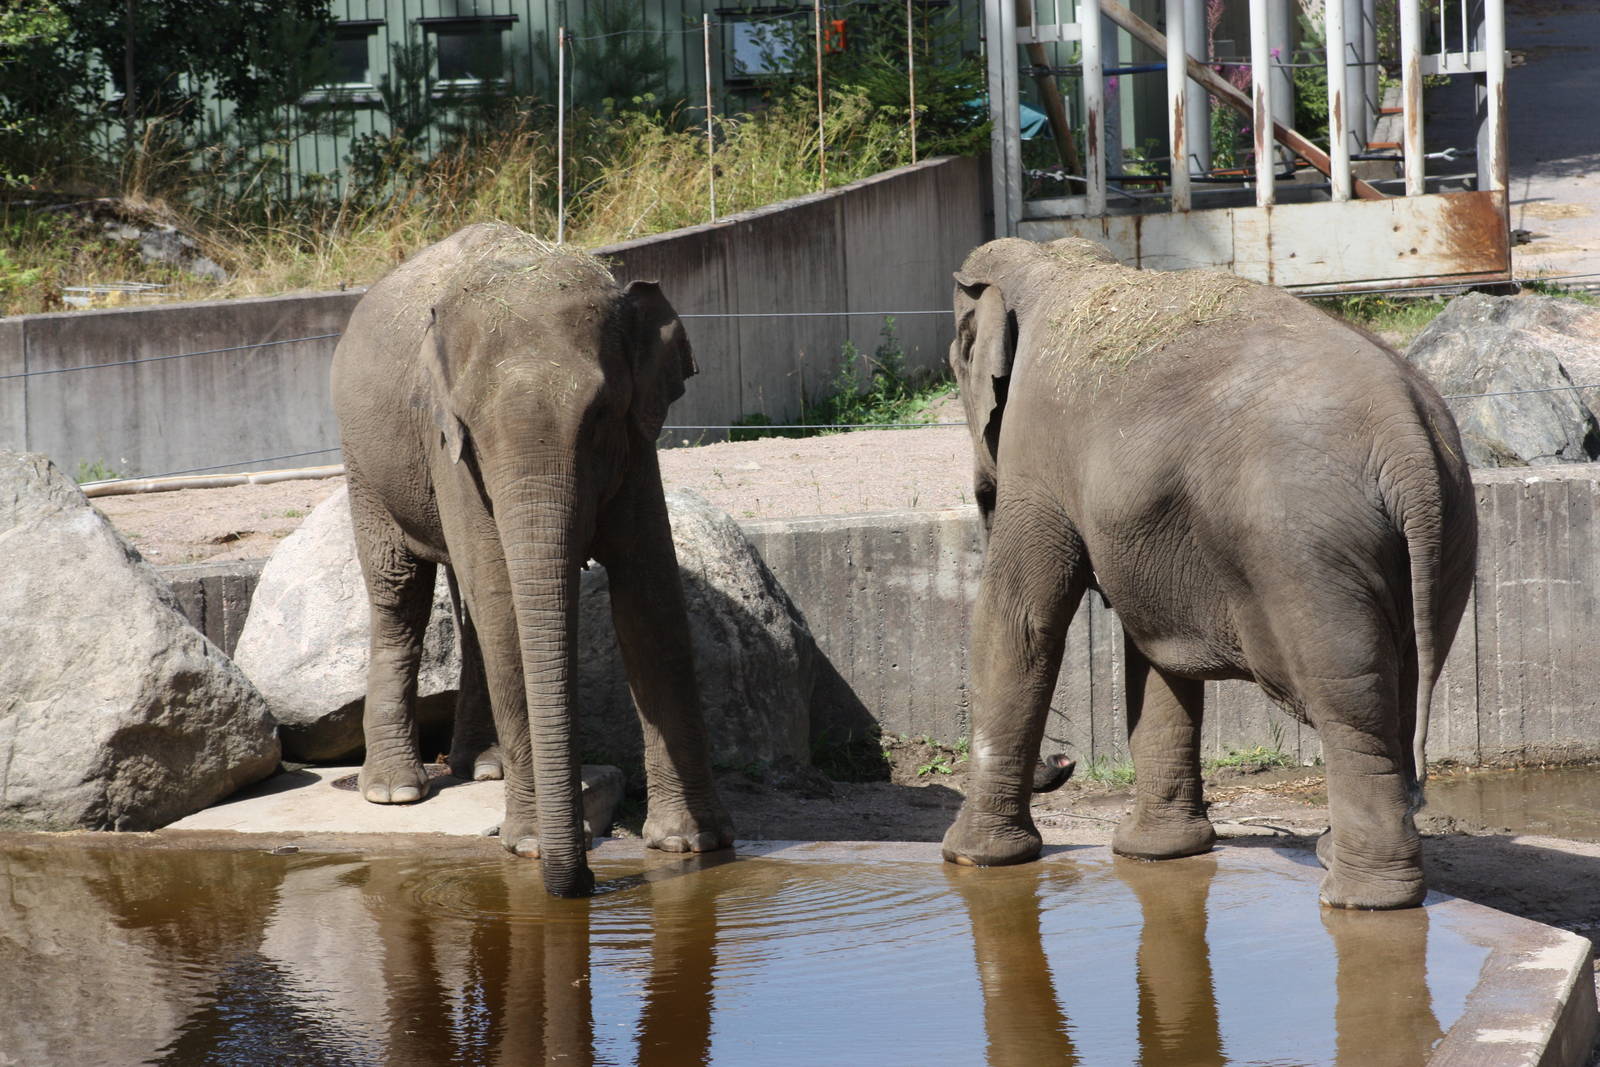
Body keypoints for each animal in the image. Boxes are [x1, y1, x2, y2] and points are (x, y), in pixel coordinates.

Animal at [331, 222, 733, 897]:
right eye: (471, 425)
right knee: (400, 593)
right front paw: (529, 846)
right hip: (364, 463)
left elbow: (650, 598)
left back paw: (482, 767)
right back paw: (395, 791)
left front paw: (690, 844)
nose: (588, 881)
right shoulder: (448, 445)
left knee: (466, 608)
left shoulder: (637, 443)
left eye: (600, 414)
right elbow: (503, 606)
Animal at [941, 237, 1476, 910]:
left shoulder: (1036, 455)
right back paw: (1340, 861)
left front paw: (971, 859)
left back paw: (1361, 899)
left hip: (1304, 554)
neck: (1052, 263)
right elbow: (1155, 655)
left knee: (1352, 707)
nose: (1063, 764)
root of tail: (1408, 443)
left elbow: (1018, 622)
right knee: (1400, 689)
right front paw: (1158, 853)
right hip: (1447, 537)